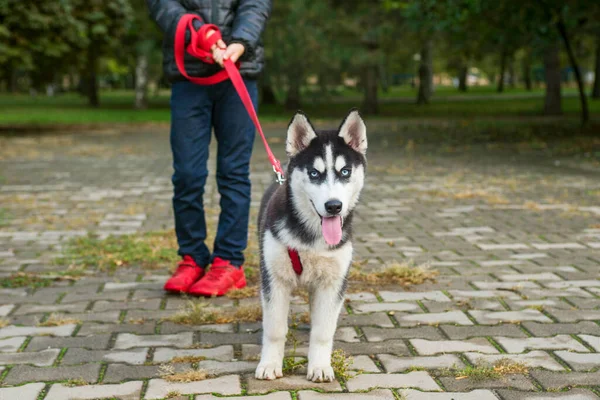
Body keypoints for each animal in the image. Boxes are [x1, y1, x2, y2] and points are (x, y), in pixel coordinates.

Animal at [253, 108, 366, 382]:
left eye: (345, 172)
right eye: (314, 173)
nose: (334, 206)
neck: (311, 237)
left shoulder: (333, 282)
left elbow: (323, 331)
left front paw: (320, 366)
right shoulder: (274, 279)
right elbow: (274, 328)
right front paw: (270, 364)